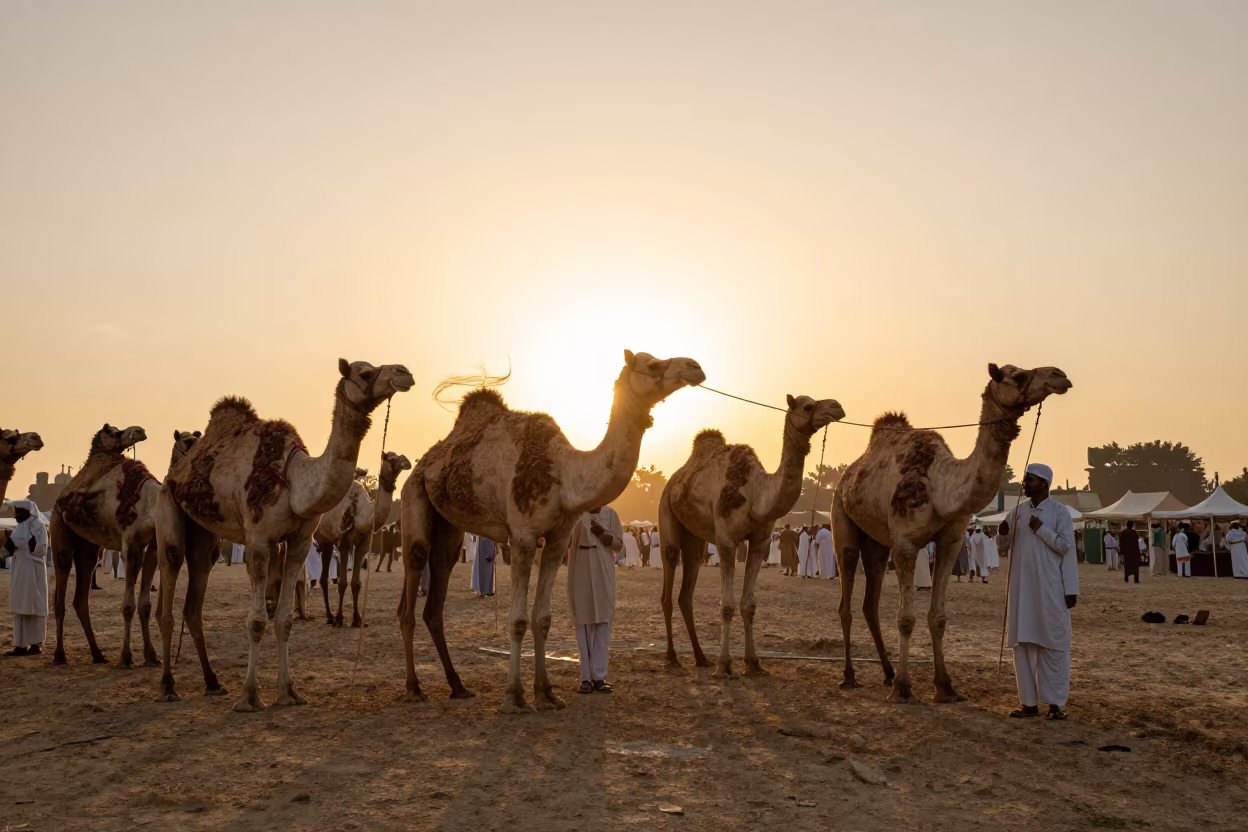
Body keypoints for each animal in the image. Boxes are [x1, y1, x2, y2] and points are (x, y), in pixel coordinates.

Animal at [49, 426, 200, 667]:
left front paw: (151, 656)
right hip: (59, 526)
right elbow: (128, 606)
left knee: (81, 595)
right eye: (186, 441)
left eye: (198, 437)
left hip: (88, 545)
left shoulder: (153, 547)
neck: (150, 505)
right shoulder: (130, 545)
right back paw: (60, 655)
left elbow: (145, 605)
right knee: (60, 590)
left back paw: (97, 654)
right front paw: (126, 657)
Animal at [315, 451, 412, 627]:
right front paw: (340, 618)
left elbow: (356, 583)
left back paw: (329, 616)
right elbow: (342, 582)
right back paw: (328, 617)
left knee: (324, 577)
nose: (406, 462)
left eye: (400, 456)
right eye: (390, 458)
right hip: (322, 537)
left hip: (328, 541)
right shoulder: (344, 542)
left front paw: (357, 619)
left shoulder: (363, 544)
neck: (362, 514)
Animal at [399, 350, 705, 712]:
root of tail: (424, 465)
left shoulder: (558, 539)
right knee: (411, 589)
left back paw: (458, 686)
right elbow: (517, 620)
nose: (695, 367)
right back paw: (414, 688)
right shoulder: (522, 537)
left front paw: (546, 693)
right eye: (653, 364)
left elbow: (542, 618)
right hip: (414, 496)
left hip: (448, 528)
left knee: (436, 598)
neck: (565, 475)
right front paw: (514, 697)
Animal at [659, 395, 845, 676]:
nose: (837, 406)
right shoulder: (726, 541)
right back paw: (672, 657)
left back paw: (701, 658)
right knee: (668, 587)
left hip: (694, 538)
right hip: (666, 513)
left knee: (686, 592)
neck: (756, 494)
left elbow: (749, 604)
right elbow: (727, 604)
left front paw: (753, 662)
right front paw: (725, 664)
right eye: (807, 406)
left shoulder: (760, 542)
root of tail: (674, 480)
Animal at [831, 363, 1072, 703]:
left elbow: (939, 617)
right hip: (842, 520)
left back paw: (887, 672)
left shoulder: (951, 542)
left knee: (870, 604)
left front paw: (944, 686)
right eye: (1015, 375)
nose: (1058, 375)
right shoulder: (905, 544)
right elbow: (906, 618)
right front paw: (903, 688)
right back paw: (851, 675)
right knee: (846, 601)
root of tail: (846, 477)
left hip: (877, 544)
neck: (941, 487)